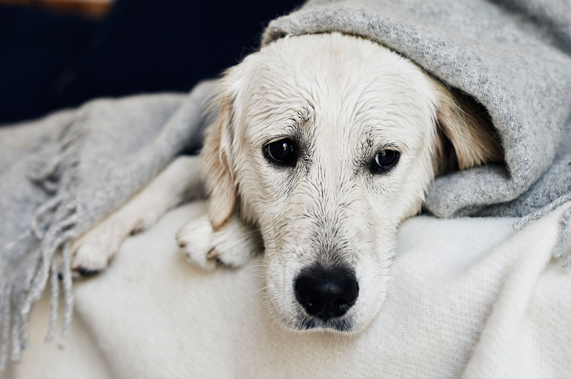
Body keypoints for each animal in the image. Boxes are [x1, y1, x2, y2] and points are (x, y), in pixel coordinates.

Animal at [70, 34, 500, 334]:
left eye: (385, 158)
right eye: (281, 150)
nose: (327, 294)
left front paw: (225, 235)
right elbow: (180, 169)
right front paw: (99, 233)